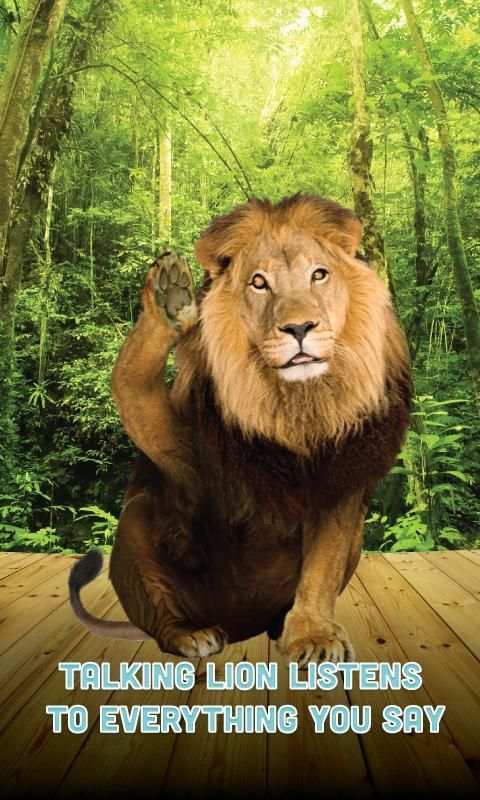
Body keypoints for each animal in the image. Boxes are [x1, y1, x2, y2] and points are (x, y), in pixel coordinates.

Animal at [69, 193, 411, 664]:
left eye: (319, 275)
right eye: (259, 283)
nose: (299, 327)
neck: (296, 408)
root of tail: (238, 627)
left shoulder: (340, 486)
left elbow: (322, 567)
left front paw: (313, 636)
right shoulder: (185, 457)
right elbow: (130, 382)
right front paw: (170, 299)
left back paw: (280, 626)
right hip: (137, 521)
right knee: (160, 613)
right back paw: (190, 635)